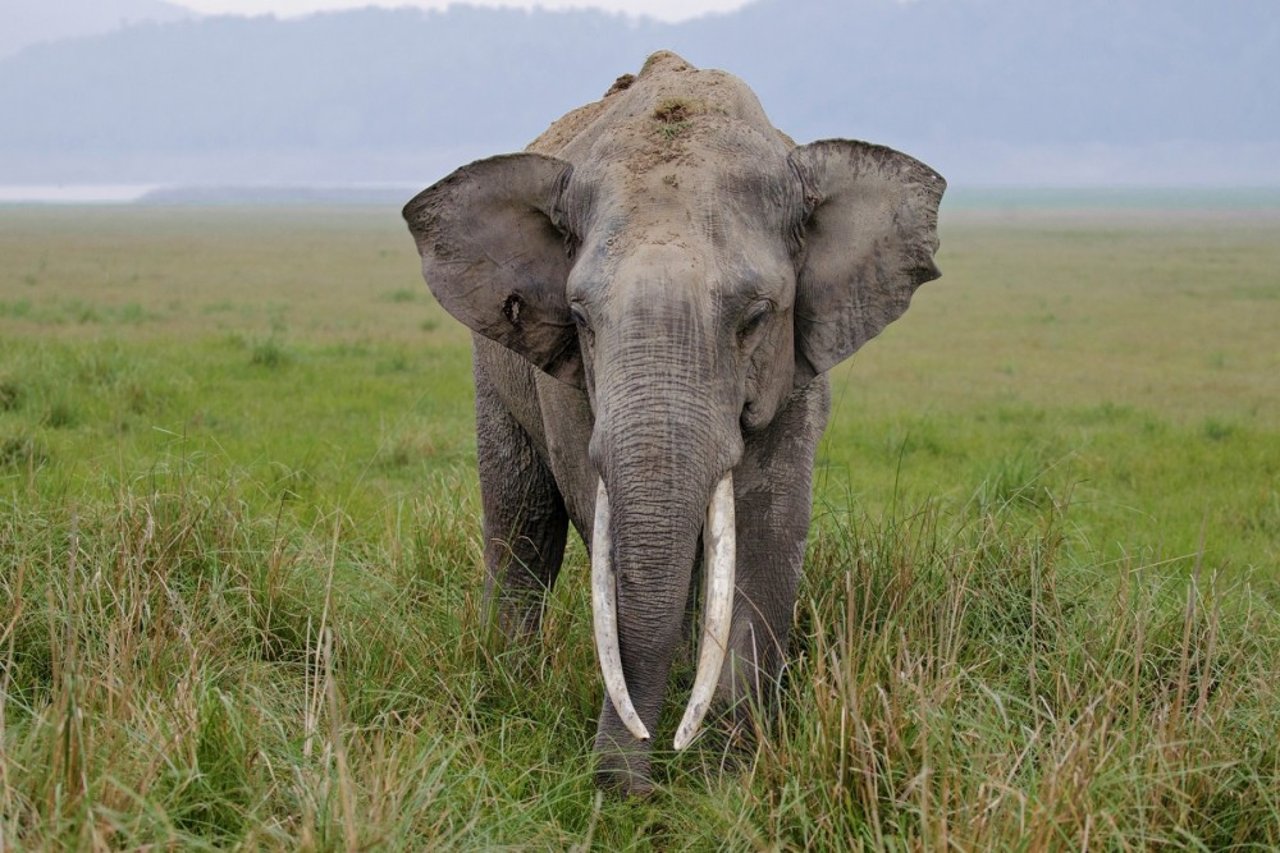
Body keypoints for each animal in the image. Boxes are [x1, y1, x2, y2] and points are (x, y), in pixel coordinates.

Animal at [404, 48, 947, 788]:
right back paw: (508, 684)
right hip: (496, 377)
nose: (621, 783)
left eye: (756, 317)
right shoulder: (571, 385)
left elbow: (769, 526)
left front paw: (729, 771)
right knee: (520, 525)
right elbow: (598, 517)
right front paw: (633, 776)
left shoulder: (792, 370)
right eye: (580, 318)